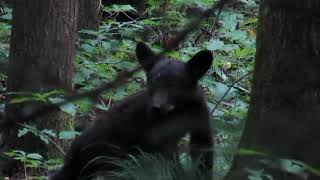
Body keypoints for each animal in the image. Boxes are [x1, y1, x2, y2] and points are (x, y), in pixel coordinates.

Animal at [50, 43, 214, 179]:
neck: (178, 110)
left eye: (173, 84)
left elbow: (203, 148)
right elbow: (170, 160)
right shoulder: (157, 132)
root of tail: (71, 159)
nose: (156, 107)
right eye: (152, 81)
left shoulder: (199, 113)